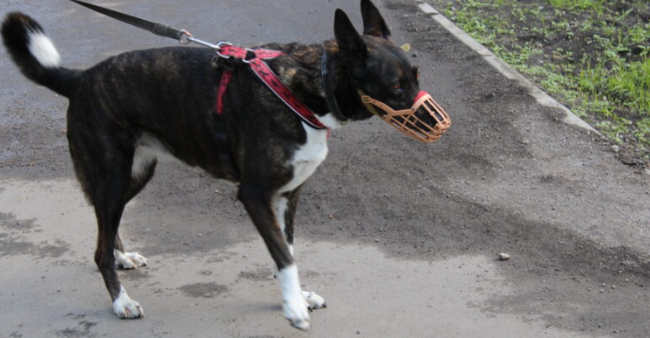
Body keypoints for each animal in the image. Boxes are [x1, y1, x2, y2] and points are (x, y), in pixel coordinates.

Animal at [3, 0, 436, 328]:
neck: (304, 90)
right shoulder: (255, 196)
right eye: (396, 85)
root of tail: (79, 79)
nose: (439, 125)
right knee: (98, 248)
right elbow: (284, 256)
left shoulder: (288, 196)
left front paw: (295, 296)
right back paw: (120, 301)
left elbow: (287, 252)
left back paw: (121, 256)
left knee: (106, 233)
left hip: (133, 175)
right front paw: (294, 308)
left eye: (417, 75)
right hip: (112, 175)